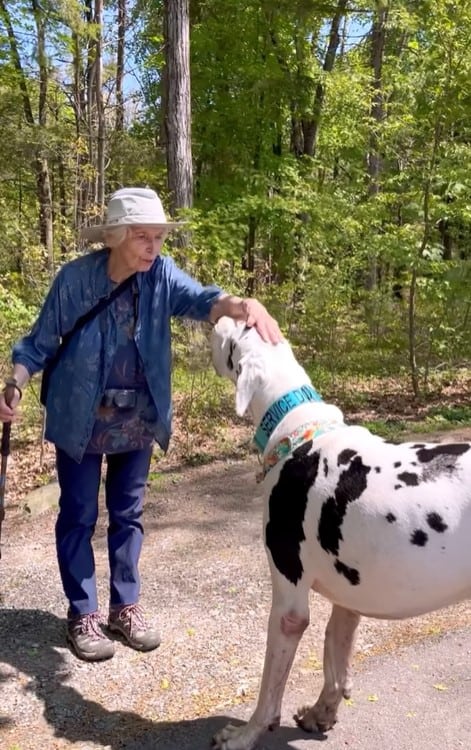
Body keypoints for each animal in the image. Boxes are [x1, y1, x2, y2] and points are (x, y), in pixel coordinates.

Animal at [211, 314, 471, 748]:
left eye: (237, 335)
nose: (223, 313)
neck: (300, 434)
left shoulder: (289, 605)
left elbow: (269, 689)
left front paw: (246, 734)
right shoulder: (348, 597)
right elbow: (335, 661)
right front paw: (322, 714)